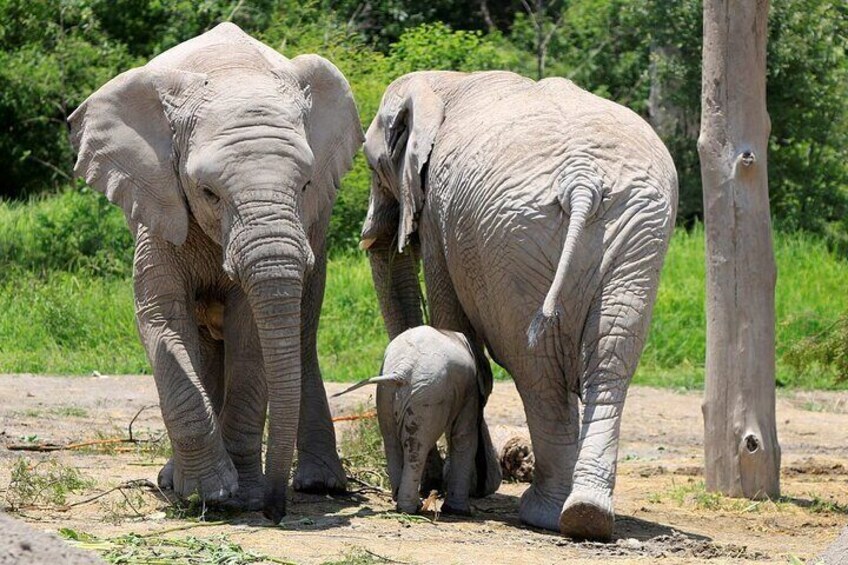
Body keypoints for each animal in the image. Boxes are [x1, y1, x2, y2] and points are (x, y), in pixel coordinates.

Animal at [70, 24, 364, 524]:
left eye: (305, 184)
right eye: (207, 192)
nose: (274, 511)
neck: (231, 73)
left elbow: (252, 335)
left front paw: (241, 496)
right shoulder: (158, 201)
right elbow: (161, 319)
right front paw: (207, 494)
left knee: (301, 335)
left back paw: (321, 486)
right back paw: (177, 481)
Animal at [332, 324, 504, 512]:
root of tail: (403, 369)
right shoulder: (470, 390)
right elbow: (463, 438)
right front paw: (459, 511)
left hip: (388, 393)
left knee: (392, 440)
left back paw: (403, 502)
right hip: (428, 393)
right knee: (416, 448)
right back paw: (410, 508)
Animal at [362, 71, 680, 540]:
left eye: (371, 164)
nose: (429, 483)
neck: (445, 84)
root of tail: (582, 181)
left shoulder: (440, 215)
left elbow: (451, 319)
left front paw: (471, 487)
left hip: (512, 240)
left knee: (536, 370)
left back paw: (546, 513)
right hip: (637, 233)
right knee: (610, 357)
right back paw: (585, 515)